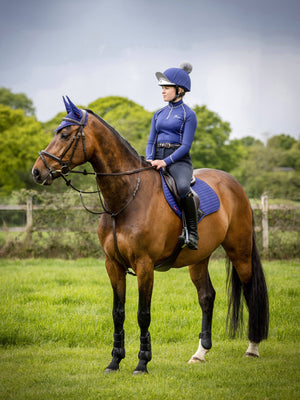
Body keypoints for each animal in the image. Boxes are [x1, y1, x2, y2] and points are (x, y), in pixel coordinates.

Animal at [32, 97, 270, 376]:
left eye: (65, 134)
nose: (37, 172)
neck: (126, 199)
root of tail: (234, 184)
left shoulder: (144, 265)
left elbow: (142, 314)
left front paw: (142, 363)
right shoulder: (113, 265)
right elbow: (118, 312)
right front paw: (114, 361)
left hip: (239, 251)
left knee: (250, 292)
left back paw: (252, 348)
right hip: (198, 259)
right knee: (206, 297)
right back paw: (200, 353)